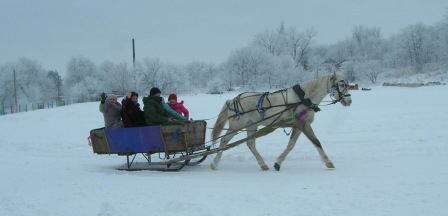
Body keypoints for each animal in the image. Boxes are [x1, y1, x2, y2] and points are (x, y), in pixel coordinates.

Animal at [212, 72, 352, 170]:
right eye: (341, 84)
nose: (349, 101)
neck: (304, 98)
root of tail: (233, 100)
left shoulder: (298, 126)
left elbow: (291, 145)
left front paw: (278, 163)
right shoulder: (304, 125)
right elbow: (316, 142)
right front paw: (328, 162)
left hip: (251, 125)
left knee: (250, 143)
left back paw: (263, 164)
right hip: (236, 126)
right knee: (224, 140)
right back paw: (214, 163)